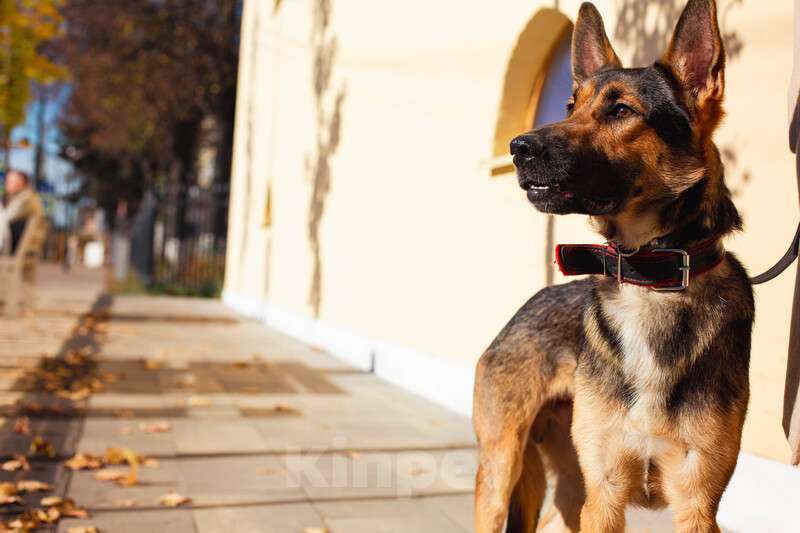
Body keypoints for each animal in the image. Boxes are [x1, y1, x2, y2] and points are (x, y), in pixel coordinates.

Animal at [472, 2, 752, 528]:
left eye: (621, 111)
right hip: (502, 471)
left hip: (567, 496)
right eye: (569, 107)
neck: (649, 279)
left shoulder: (696, 505)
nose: (519, 148)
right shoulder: (604, 495)